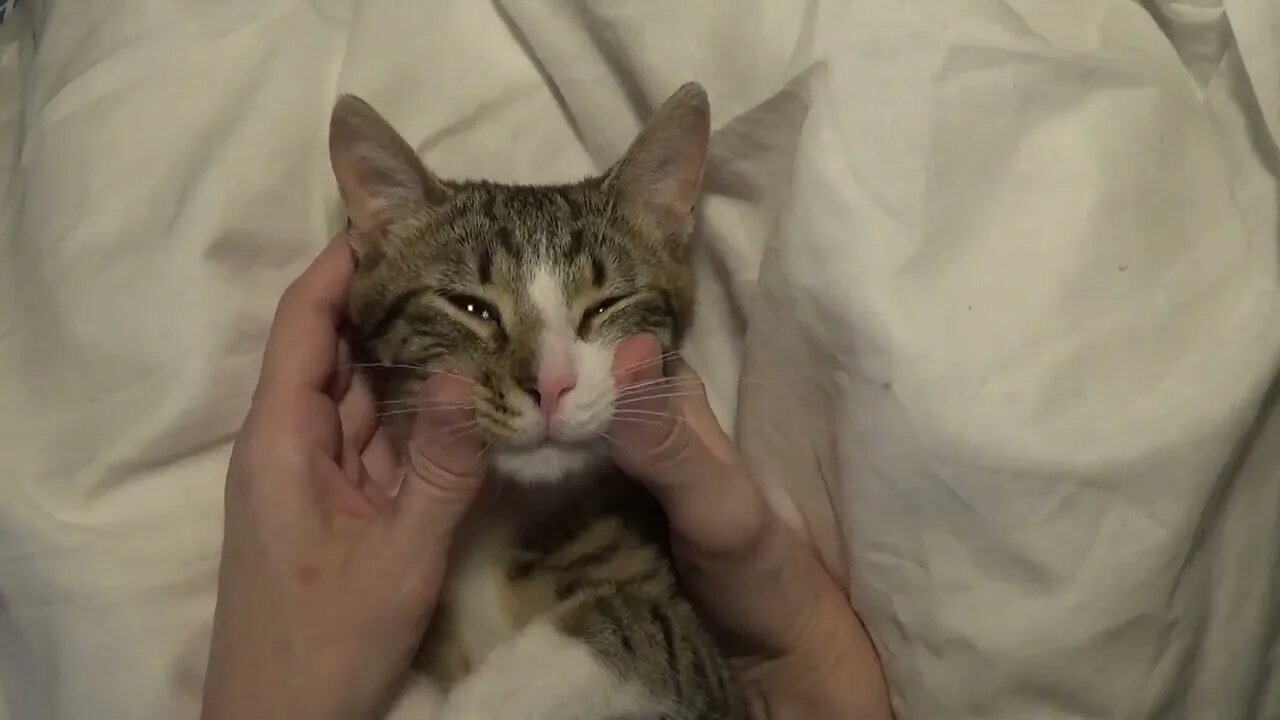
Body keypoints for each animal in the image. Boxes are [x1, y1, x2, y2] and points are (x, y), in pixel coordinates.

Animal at [330, 85, 747, 717]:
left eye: (605, 305)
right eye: (471, 307)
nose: (550, 383)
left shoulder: (728, 679)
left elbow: (630, 620)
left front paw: (483, 699)